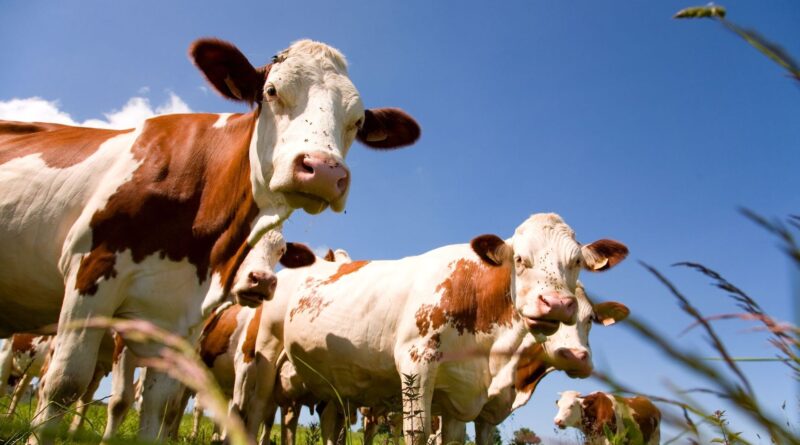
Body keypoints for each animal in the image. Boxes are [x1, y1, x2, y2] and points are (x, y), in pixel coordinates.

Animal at [0, 37, 419, 442]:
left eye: (357, 121)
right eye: (271, 91)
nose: (323, 171)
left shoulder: (178, 322)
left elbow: (157, 408)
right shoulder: (91, 274)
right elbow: (66, 387)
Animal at [248, 213, 628, 445]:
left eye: (576, 262)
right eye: (520, 259)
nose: (557, 304)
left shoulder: (461, 394)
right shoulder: (416, 364)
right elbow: (416, 433)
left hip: (332, 387)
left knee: (327, 423)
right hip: (262, 355)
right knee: (254, 410)